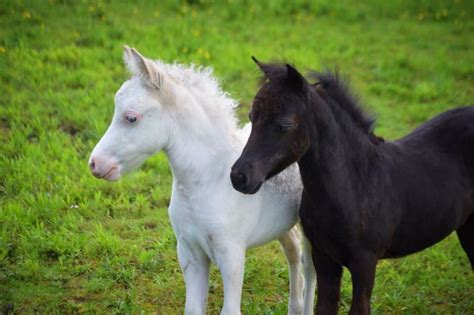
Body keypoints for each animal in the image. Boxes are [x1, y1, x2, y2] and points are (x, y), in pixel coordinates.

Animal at [90, 47, 314, 315]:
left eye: (131, 118)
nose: (95, 164)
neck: (207, 182)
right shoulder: (190, 255)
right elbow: (193, 309)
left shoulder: (232, 257)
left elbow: (230, 310)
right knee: (293, 252)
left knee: (309, 268)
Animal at [231, 58, 474, 314]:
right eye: (252, 116)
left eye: (283, 125)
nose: (239, 176)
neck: (355, 186)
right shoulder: (324, 257)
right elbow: (325, 306)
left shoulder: (365, 263)